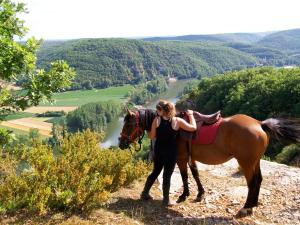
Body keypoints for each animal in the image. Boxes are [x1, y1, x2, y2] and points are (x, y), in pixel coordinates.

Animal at [119, 108, 300, 217]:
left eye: (128, 124)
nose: (121, 143)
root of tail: (260, 124)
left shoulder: (181, 158)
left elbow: (185, 176)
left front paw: (184, 195)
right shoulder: (191, 158)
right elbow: (195, 174)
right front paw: (200, 194)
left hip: (246, 163)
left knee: (252, 182)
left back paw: (246, 207)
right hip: (255, 161)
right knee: (259, 180)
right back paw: (253, 204)